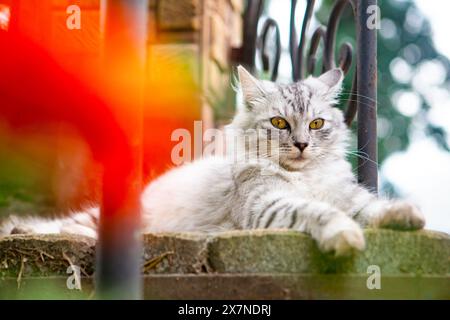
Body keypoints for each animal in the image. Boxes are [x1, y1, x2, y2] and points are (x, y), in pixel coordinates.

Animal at [0, 66, 426, 256]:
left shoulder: (347, 196)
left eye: (317, 124)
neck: (303, 177)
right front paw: (345, 238)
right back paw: (21, 230)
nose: (303, 144)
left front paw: (406, 216)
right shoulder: (268, 207)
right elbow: (320, 213)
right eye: (279, 123)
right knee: (61, 226)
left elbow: (371, 208)